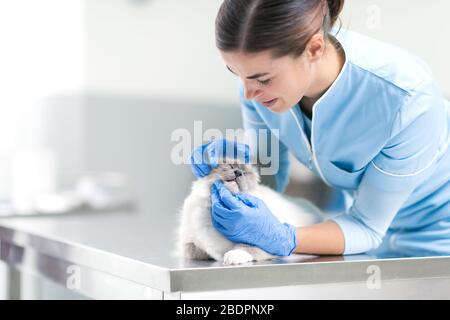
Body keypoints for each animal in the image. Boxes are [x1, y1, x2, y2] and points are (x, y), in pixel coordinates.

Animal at [174, 159, 326, 266]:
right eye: (231, 167)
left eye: (245, 173)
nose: (238, 173)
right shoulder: (188, 244)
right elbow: (197, 249)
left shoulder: (266, 244)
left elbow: (244, 248)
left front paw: (231, 256)